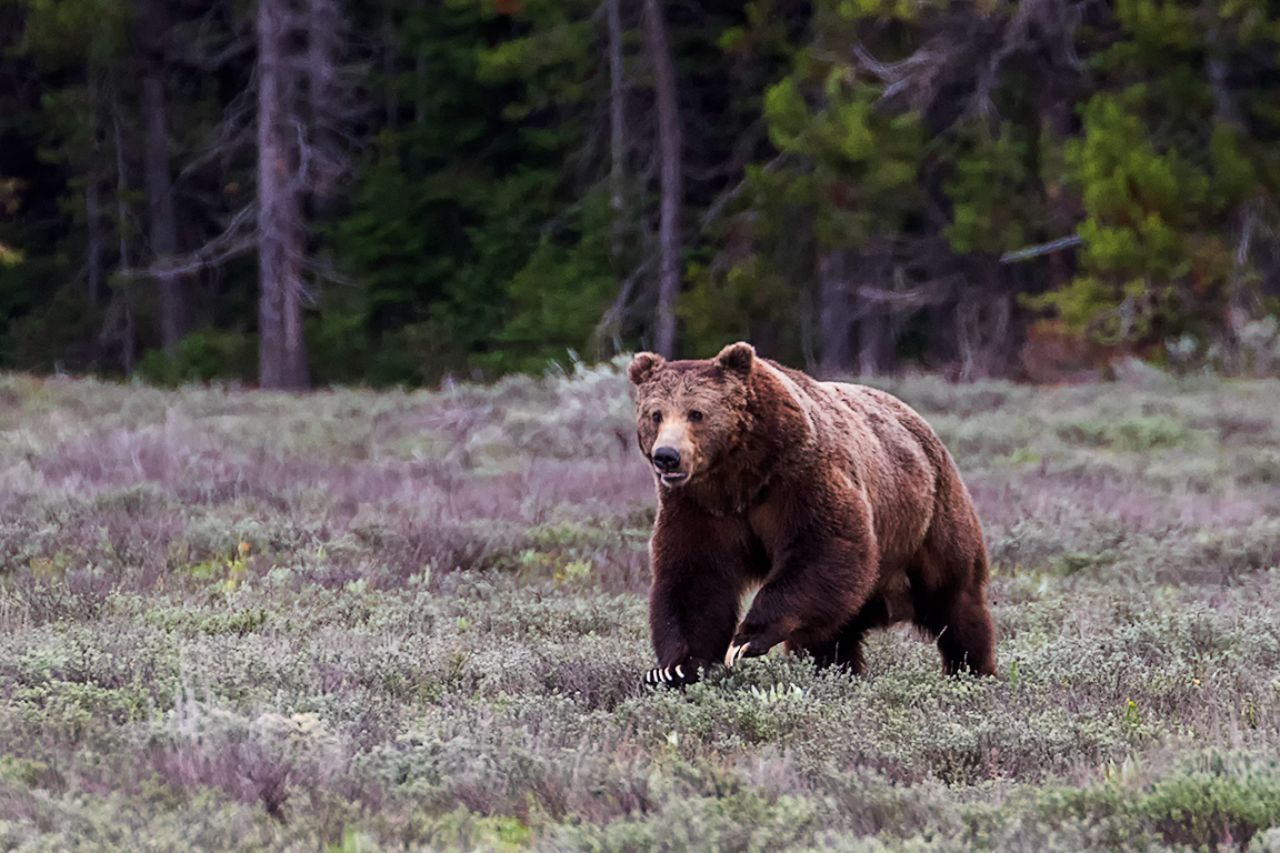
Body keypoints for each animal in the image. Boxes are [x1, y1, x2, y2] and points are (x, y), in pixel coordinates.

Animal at [629, 341, 995, 687]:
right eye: (656, 414)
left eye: (696, 413)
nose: (667, 456)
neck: (740, 475)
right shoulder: (699, 507)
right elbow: (695, 578)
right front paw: (675, 667)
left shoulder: (799, 476)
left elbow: (824, 546)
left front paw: (746, 638)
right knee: (828, 637)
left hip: (930, 520)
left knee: (957, 606)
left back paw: (972, 672)